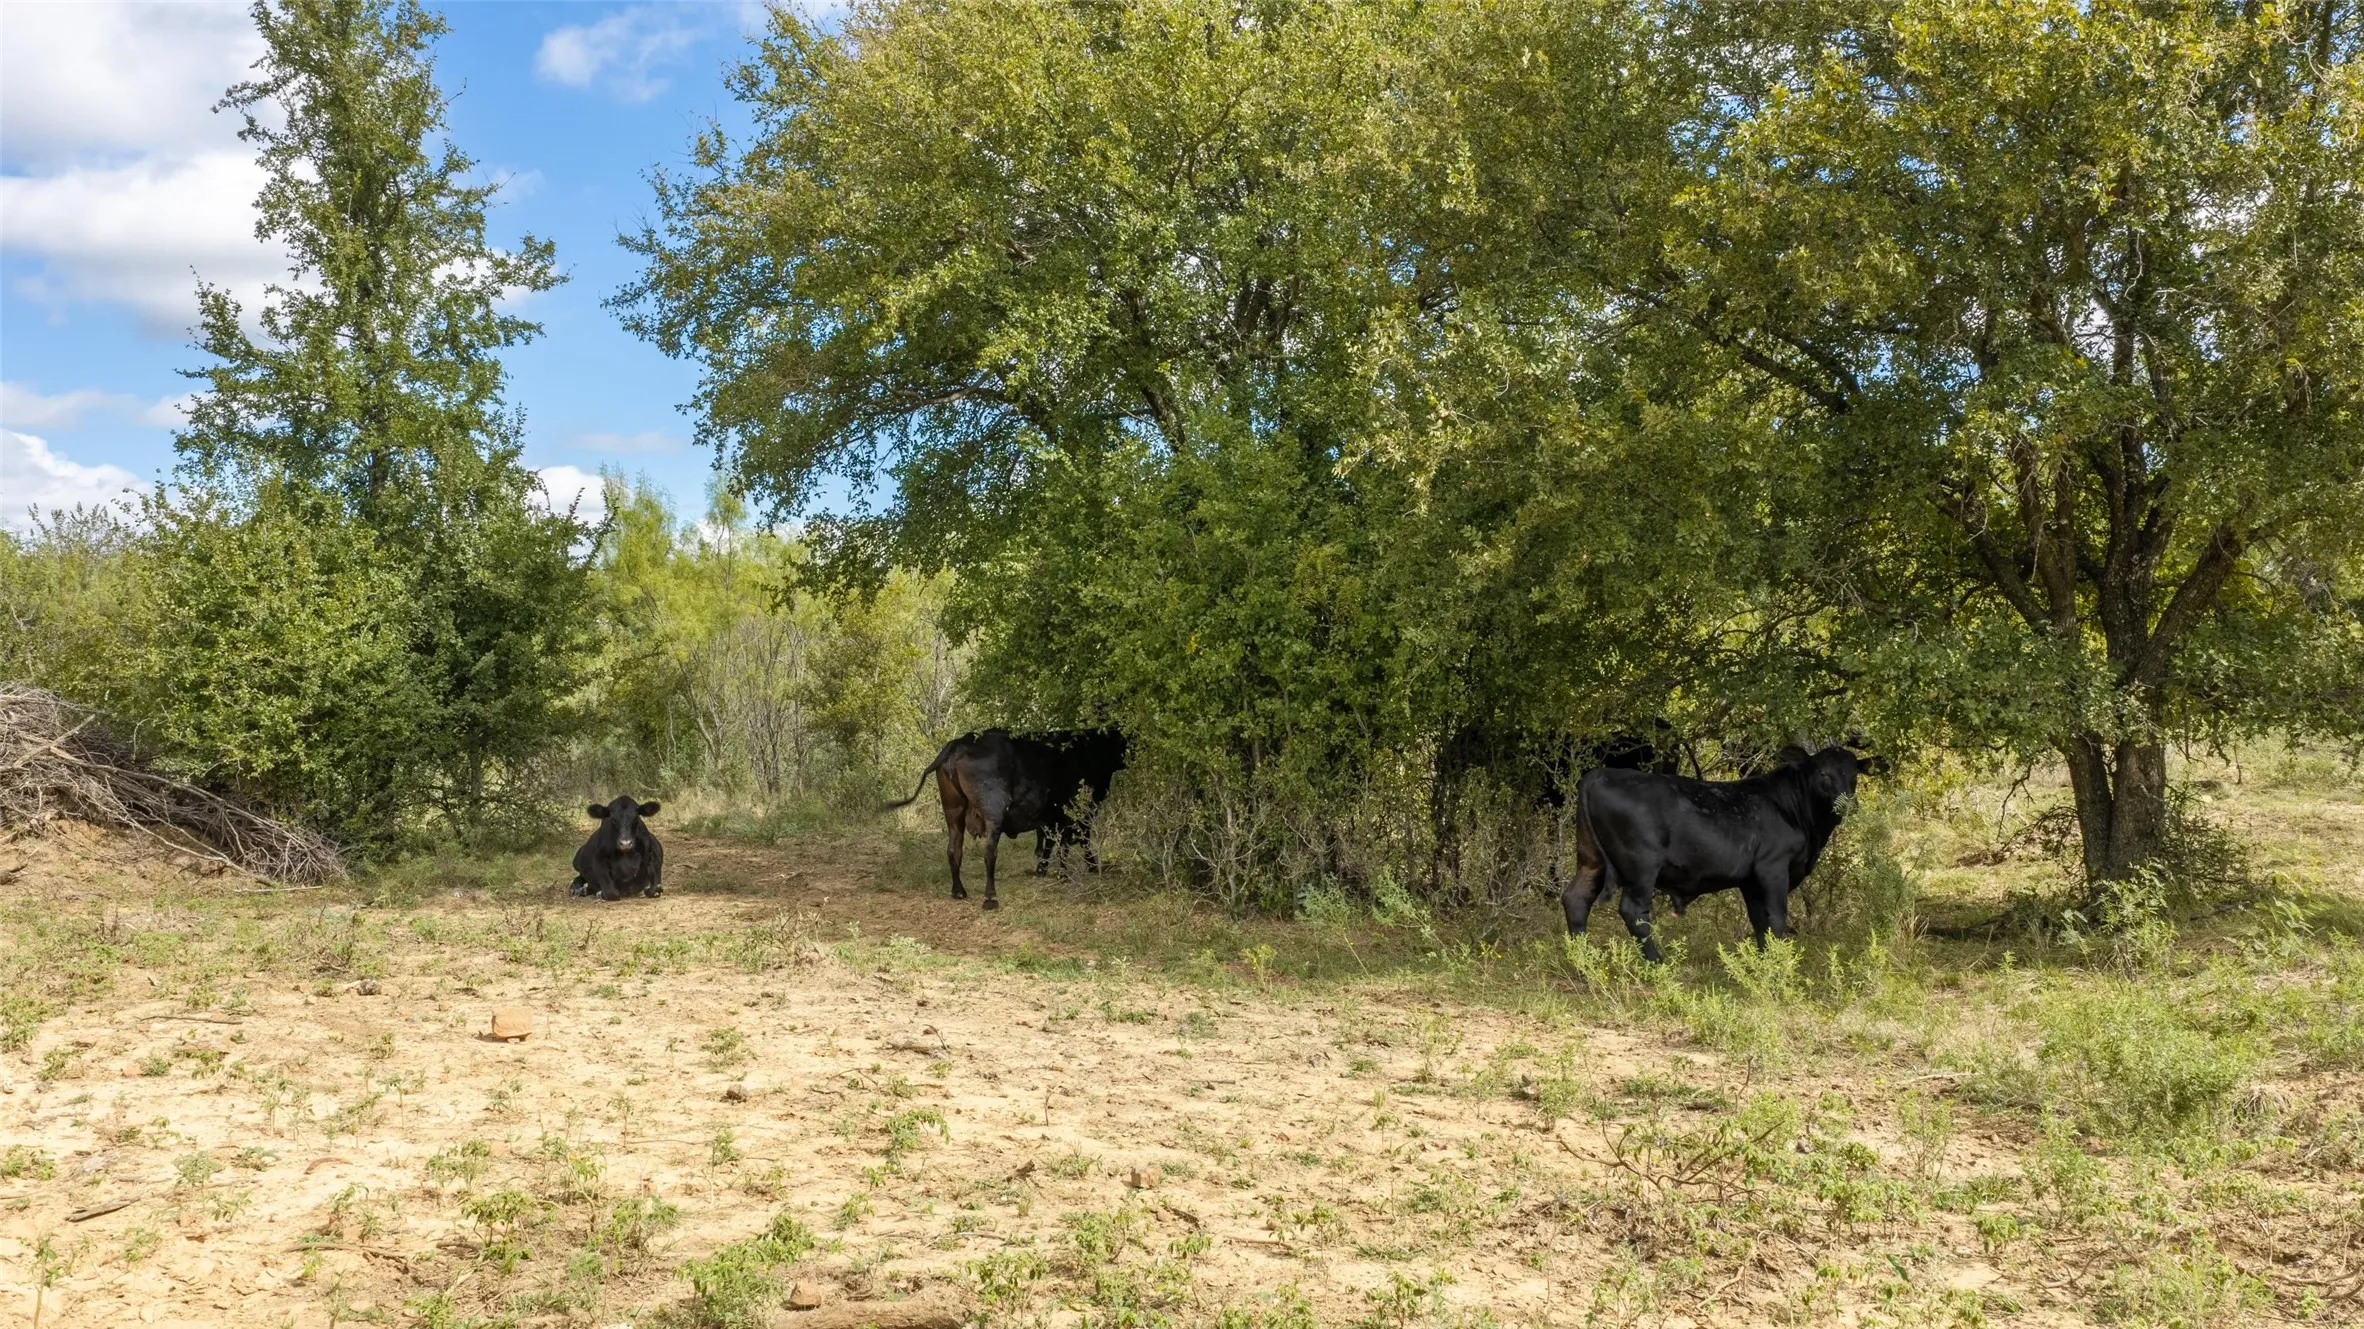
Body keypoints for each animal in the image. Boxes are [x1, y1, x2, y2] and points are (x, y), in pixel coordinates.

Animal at [884, 727, 1129, 910]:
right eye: (1122, 741)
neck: (1087, 751)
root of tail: (962, 742)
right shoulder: (1076, 813)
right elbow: (1073, 843)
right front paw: (1076, 870)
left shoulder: (1052, 818)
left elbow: (1049, 843)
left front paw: (1043, 870)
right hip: (994, 813)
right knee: (989, 853)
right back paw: (990, 897)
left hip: (953, 811)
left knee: (954, 850)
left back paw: (959, 891)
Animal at [1561, 744, 1880, 960]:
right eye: (1823, 773)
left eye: (1854, 774)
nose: (1847, 804)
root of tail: (1598, 775)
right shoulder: (1773, 867)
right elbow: (1777, 919)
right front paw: (1779, 963)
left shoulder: (1751, 881)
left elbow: (1760, 922)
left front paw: (1764, 961)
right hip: (1641, 866)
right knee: (1634, 911)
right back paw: (1657, 963)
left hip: (1591, 859)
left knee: (1576, 899)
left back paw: (1583, 961)